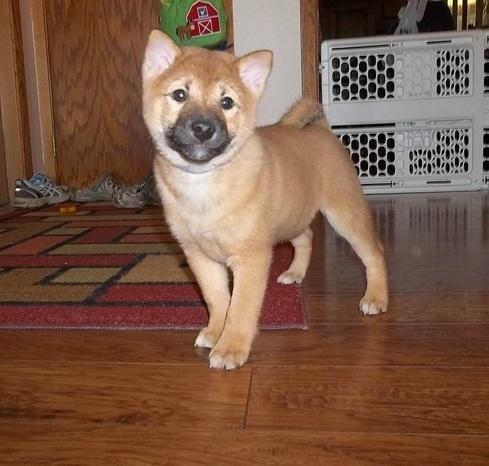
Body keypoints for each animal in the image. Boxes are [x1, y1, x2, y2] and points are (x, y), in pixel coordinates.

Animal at [142, 31, 388, 370]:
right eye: (180, 95)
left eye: (227, 102)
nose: (203, 128)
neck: (204, 181)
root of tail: (321, 129)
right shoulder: (199, 256)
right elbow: (217, 299)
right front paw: (215, 331)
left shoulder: (251, 257)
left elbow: (241, 307)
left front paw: (231, 347)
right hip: (291, 216)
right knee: (306, 236)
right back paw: (295, 273)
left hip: (344, 213)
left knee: (374, 253)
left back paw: (376, 297)